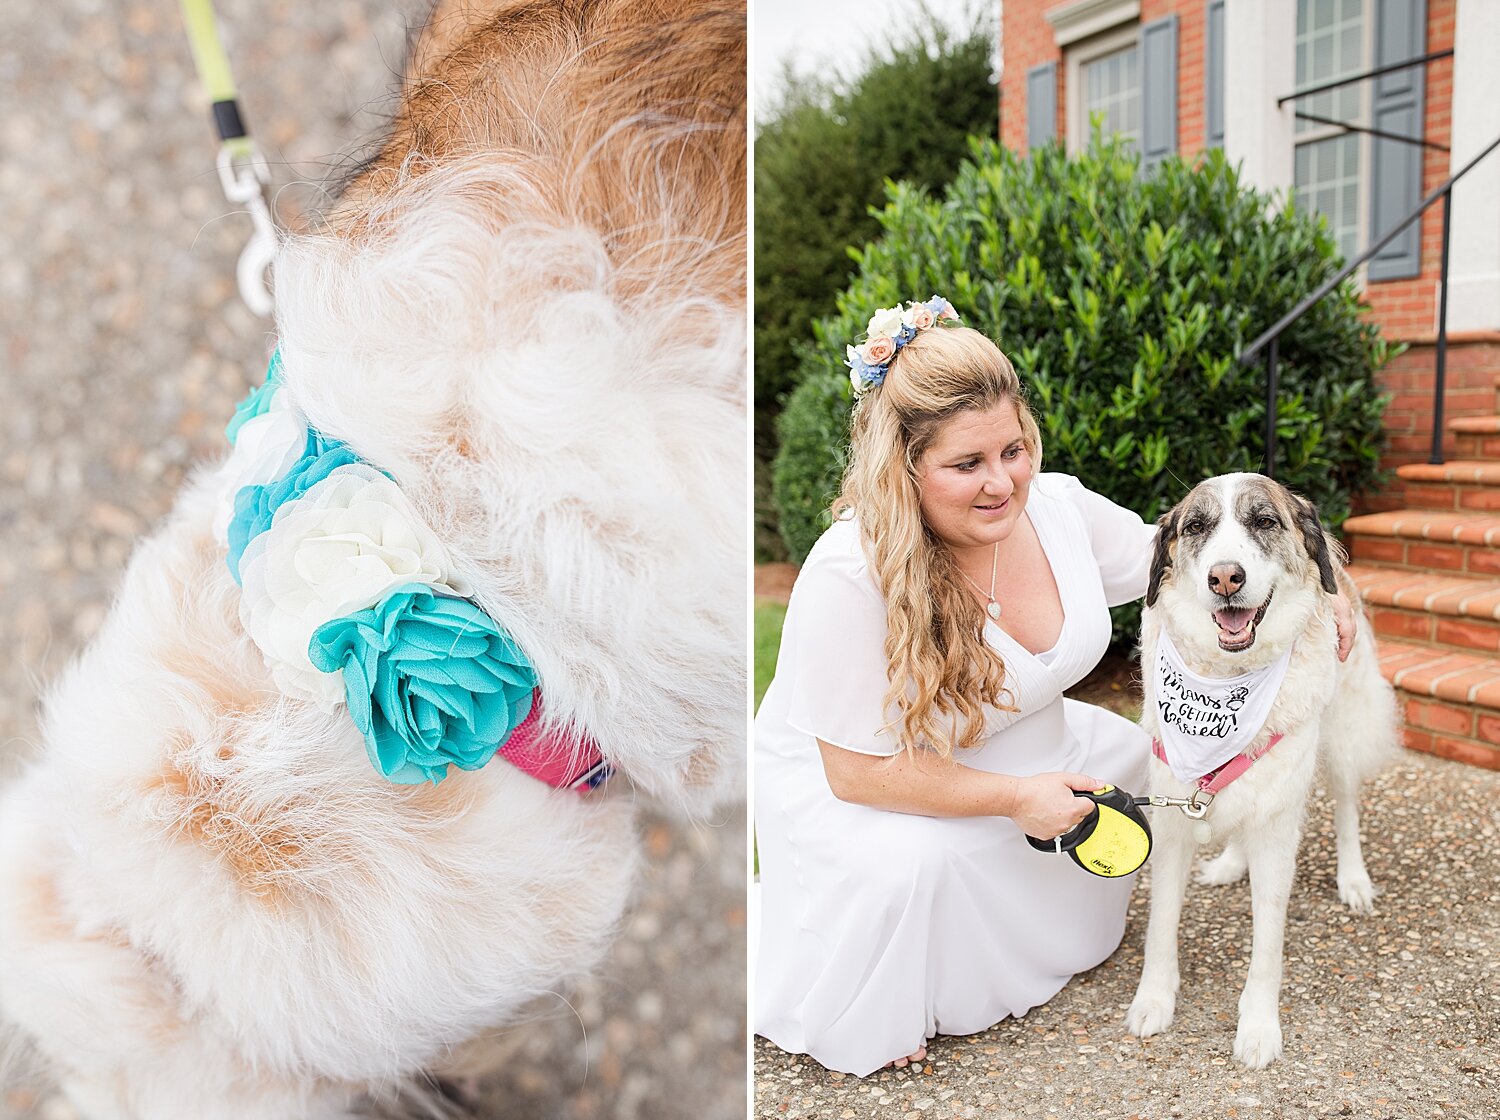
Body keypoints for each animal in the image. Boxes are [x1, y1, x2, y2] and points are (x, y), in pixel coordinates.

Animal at [1128, 470, 1398, 1067]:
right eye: (1197, 527)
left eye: (1264, 521)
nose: (1225, 576)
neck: (1226, 681)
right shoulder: (1174, 819)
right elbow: (1161, 925)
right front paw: (1153, 1000)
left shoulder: (1278, 829)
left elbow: (1268, 943)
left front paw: (1258, 1027)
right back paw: (1232, 862)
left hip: (1341, 735)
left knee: (1346, 808)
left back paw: (1353, 878)